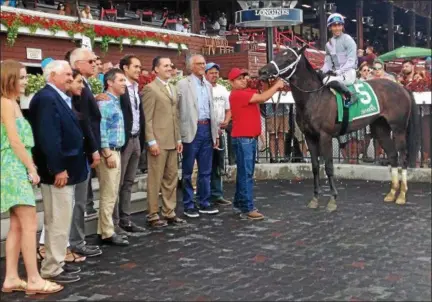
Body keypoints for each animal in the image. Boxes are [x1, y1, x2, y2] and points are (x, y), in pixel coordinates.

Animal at [256, 44, 418, 211]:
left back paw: (401, 195)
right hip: (381, 128)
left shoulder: (325, 136)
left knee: (403, 157)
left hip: (398, 129)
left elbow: (328, 167)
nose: (262, 71)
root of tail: (402, 88)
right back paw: (392, 193)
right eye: (277, 53)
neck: (314, 97)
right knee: (392, 155)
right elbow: (315, 167)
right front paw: (315, 198)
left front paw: (332, 199)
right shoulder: (309, 136)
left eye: (288, 58)